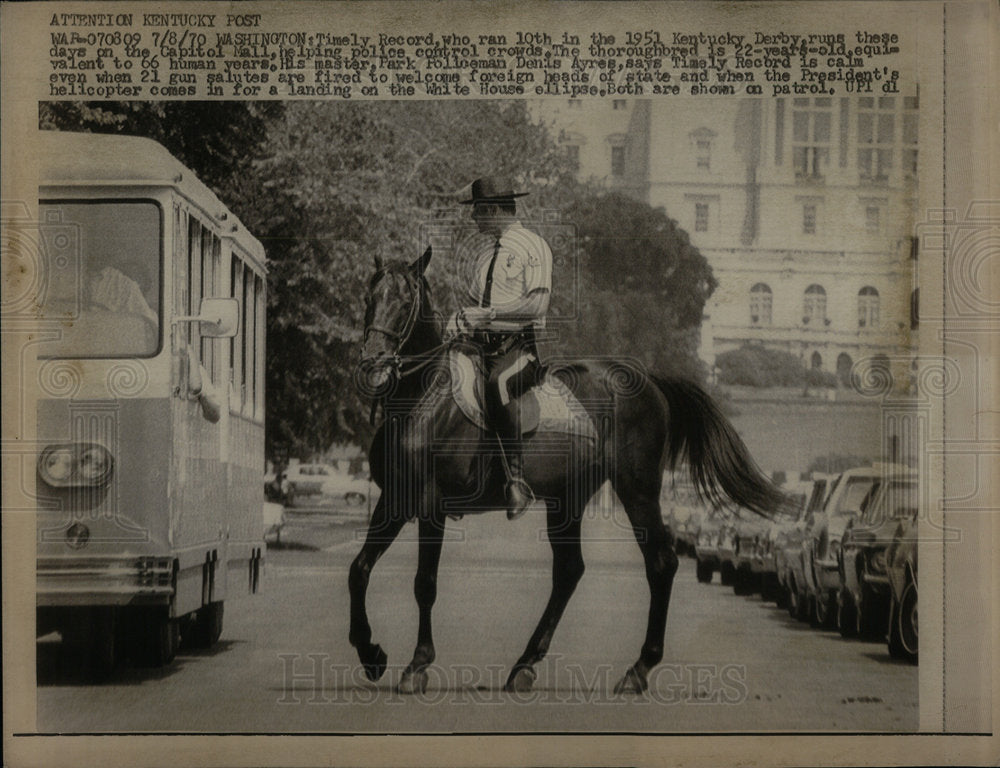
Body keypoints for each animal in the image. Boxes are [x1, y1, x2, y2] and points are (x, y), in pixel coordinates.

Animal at [348, 248, 784, 696]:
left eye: (405, 302)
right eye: (369, 298)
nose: (373, 363)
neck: (423, 399)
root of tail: (648, 380)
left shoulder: (432, 506)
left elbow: (425, 584)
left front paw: (417, 664)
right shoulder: (394, 501)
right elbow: (359, 570)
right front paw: (371, 654)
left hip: (638, 489)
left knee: (660, 562)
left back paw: (638, 669)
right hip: (568, 497)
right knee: (569, 570)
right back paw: (525, 665)